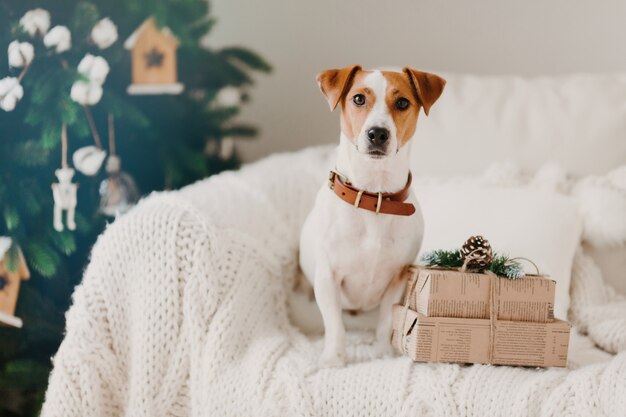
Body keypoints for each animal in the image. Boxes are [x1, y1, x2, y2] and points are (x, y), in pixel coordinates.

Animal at [298, 63, 444, 366]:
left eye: (402, 103)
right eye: (358, 99)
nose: (378, 133)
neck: (374, 197)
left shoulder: (398, 277)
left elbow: (387, 318)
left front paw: (382, 350)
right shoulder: (327, 277)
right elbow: (335, 324)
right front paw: (334, 357)